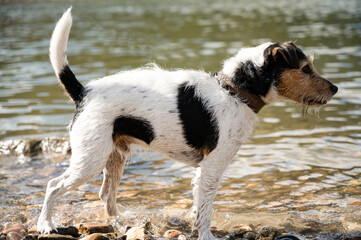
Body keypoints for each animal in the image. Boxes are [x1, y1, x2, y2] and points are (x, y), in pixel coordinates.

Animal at [37, 7, 338, 240]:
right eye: (306, 69)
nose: (335, 88)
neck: (235, 91)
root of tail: (83, 92)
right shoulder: (212, 168)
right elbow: (206, 211)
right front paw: (205, 235)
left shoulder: (202, 172)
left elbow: (198, 205)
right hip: (89, 160)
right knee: (53, 185)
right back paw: (47, 225)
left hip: (114, 157)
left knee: (105, 196)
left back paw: (120, 225)